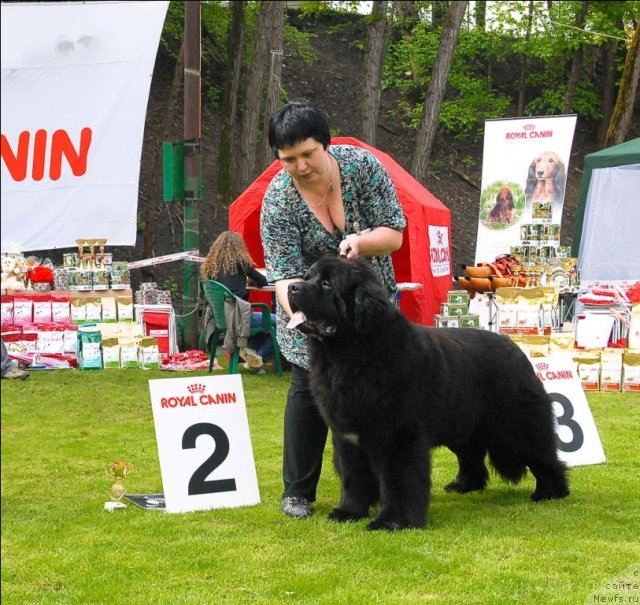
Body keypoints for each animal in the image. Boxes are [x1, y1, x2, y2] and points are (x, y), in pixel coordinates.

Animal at [288, 258, 568, 532]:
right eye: (307, 277)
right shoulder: (348, 437)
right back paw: (466, 484)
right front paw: (349, 512)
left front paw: (392, 521)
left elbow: (399, 480)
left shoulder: (398, 436)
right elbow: (353, 478)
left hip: (517, 426)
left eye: (327, 283)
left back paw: (551, 492)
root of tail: (516, 348)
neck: (350, 356)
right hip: (462, 424)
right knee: (471, 454)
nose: (292, 287)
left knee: (544, 456)